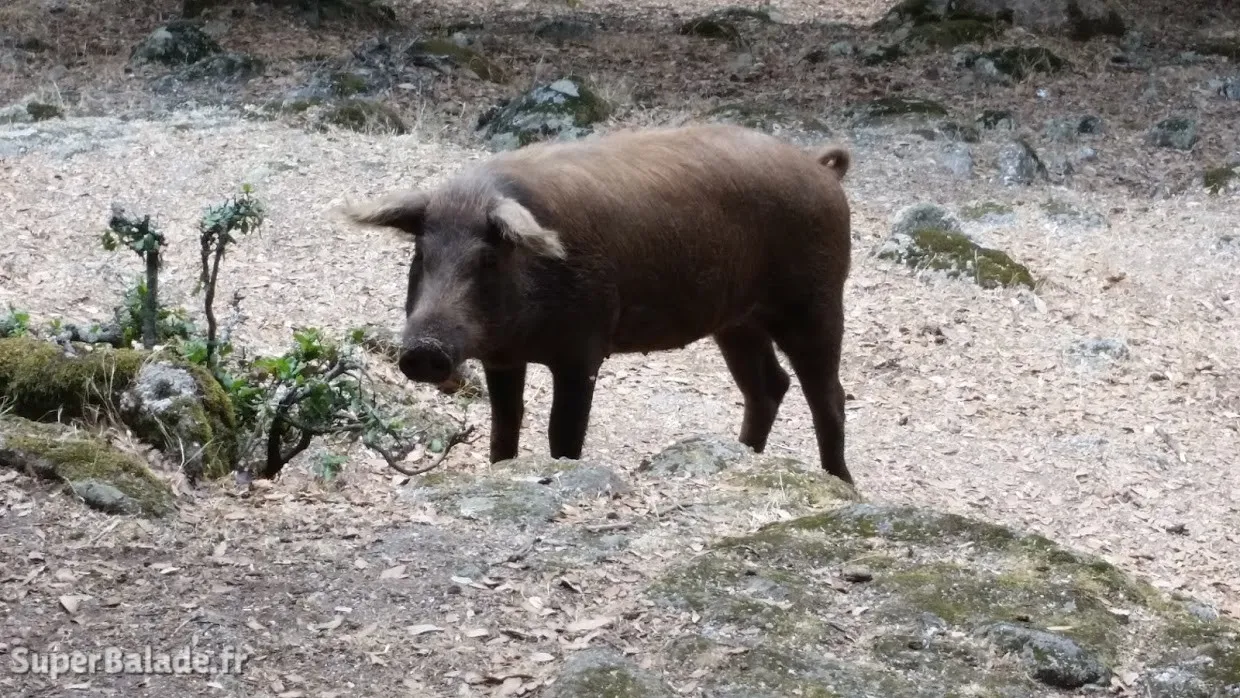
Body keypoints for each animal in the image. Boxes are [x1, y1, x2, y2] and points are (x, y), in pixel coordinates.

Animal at [339, 123, 855, 484]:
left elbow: (563, 434)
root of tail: (822, 169)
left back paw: (842, 485)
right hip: (736, 322)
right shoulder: (501, 358)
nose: (424, 350)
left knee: (828, 395)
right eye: (420, 255)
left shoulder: (584, 348)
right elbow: (505, 426)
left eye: (487, 259)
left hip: (817, 300)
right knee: (769, 386)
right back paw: (745, 457)